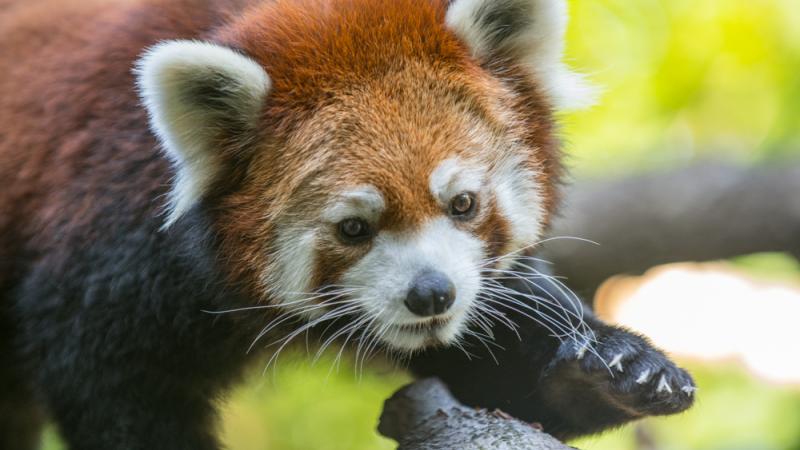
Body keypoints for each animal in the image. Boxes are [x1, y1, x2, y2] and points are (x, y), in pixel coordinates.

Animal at [0, 0, 692, 448]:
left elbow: (497, 371)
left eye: (463, 204)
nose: (431, 294)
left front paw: (618, 369)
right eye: (355, 228)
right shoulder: (110, 238)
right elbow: (114, 390)